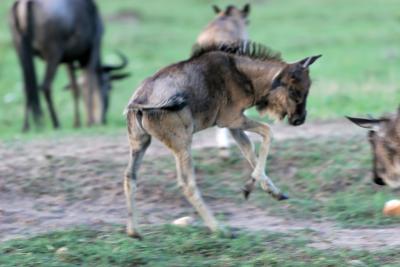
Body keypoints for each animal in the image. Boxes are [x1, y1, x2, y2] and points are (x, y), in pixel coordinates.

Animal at [123, 42, 320, 239]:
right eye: (293, 91)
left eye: (308, 88)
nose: (299, 120)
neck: (241, 74)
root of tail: (140, 100)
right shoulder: (231, 120)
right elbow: (268, 132)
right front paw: (250, 187)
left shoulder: (234, 126)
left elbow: (250, 151)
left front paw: (270, 192)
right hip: (182, 145)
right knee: (187, 184)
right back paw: (219, 229)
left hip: (140, 143)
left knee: (130, 176)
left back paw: (134, 232)